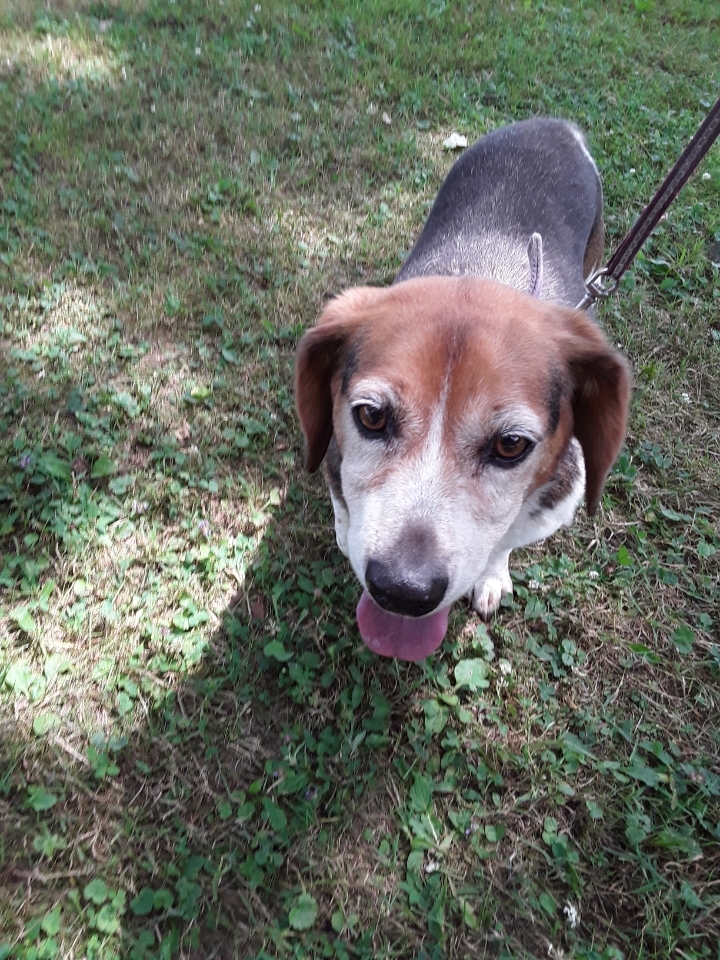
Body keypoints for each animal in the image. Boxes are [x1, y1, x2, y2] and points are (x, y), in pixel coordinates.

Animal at [296, 118, 628, 660]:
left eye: (511, 445)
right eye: (371, 416)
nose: (402, 591)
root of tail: (554, 124)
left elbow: (503, 543)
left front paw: (491, 575)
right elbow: (344, 509)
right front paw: (347, 534)